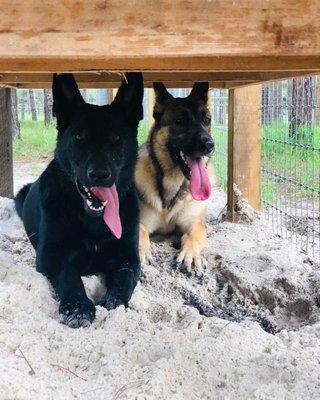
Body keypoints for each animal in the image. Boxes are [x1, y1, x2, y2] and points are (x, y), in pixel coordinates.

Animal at [15, 72, 143, 328]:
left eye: (116, 138)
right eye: (79, 136)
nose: (99, 175)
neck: (92, 221)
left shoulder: (128, 257)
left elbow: (124, 278)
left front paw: (113, 302)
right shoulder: (51, 255)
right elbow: (70, 275)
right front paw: (77, 307)